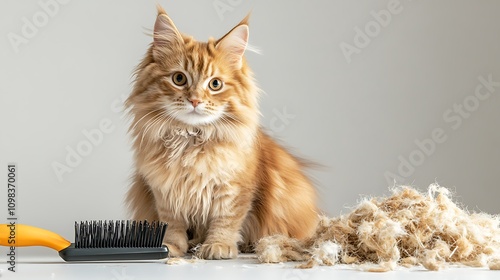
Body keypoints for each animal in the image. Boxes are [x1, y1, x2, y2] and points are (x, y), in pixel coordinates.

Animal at [127, 6, 318, 260]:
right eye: (179, 79)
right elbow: (173, 223)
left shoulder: (235, 189)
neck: (192, 139)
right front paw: (171, 248)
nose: (195, 100)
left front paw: (218, 246)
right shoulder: (165, 192)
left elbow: (226, 220)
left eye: (215, 84)